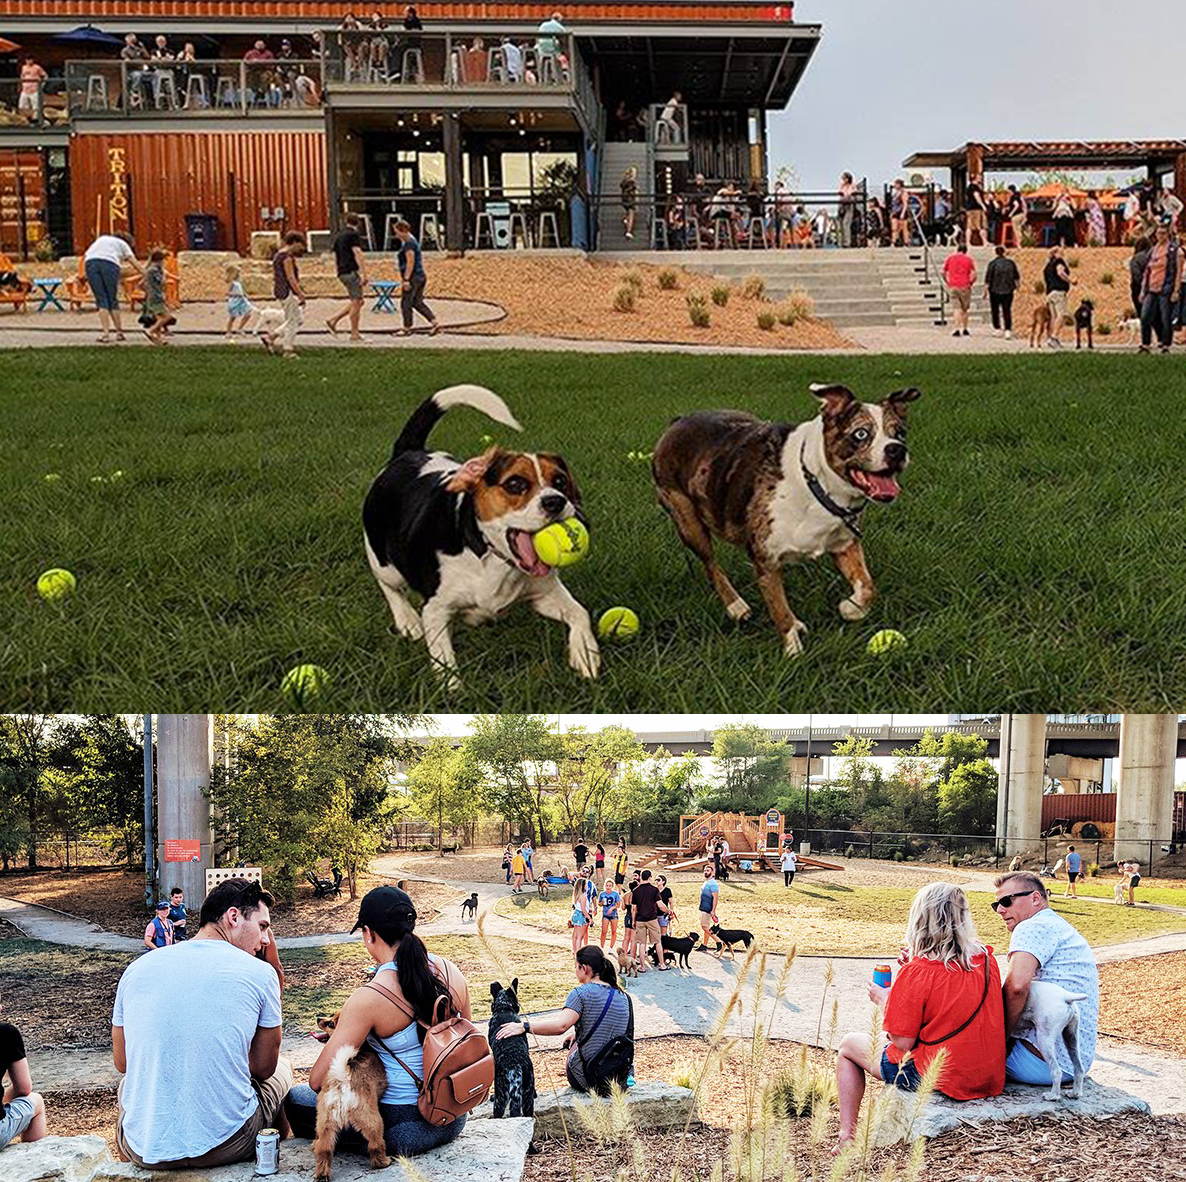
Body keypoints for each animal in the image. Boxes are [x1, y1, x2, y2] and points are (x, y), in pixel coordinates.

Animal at [313, 1010, 391, 1180]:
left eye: (331, 1023)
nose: (318, 1018)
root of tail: (342, 1078)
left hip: (325, 1122)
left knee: (324, 1149)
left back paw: (322, 1173)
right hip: (372, 1120)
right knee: (375, 1144)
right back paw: (383, 1162)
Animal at [360, 381, 602, 687]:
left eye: (560, 481)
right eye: (515, 484)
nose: (555, 501)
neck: (489, 555)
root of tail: (407, 453)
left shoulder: (545, 594)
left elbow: (579, 613)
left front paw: (585, 653)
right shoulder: (436, 609)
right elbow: (444, 659)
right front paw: (452, 690)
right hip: (383, 561)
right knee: (389, 587)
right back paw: (407, 621)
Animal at [649, 384, 915, 654]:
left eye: (900, 433)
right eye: (861, 434)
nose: (897, 449)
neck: (815, 481)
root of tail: (677, 422)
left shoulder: (845, 544)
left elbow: (867, 586)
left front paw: (850, 608)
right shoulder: (766, 561)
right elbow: (780, 611)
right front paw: (794, 653)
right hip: (687, 521)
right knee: (710, 563)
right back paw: (736, 606)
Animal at [1015, 972, 1086, 1100]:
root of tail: (1066, 997)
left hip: (1044, 1039)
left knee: (1056, 1071)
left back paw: (1053, 1095)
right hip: (1071, 1037)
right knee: (1079, 1068)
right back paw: (1075, 1093)